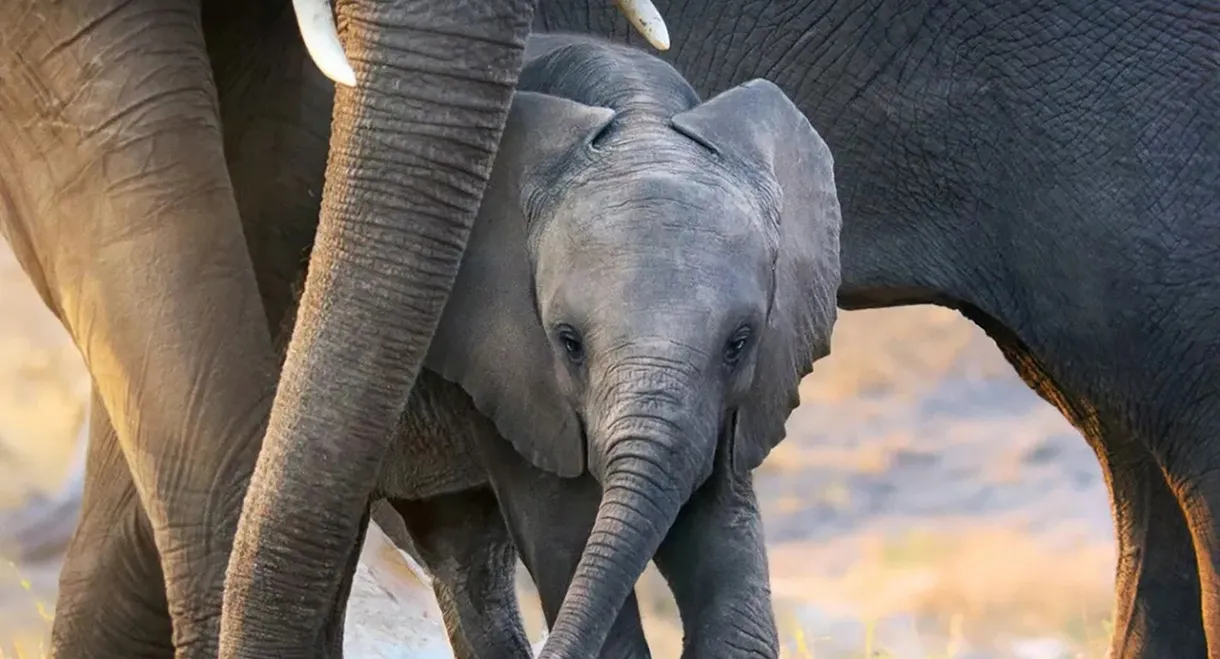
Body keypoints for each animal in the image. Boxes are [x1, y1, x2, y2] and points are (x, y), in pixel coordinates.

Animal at [225, 2, 1220, 659]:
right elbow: (569, 528)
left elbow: (717, 540)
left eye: (740, 341)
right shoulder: (507, 361)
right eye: (567, 342)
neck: (634, 111)